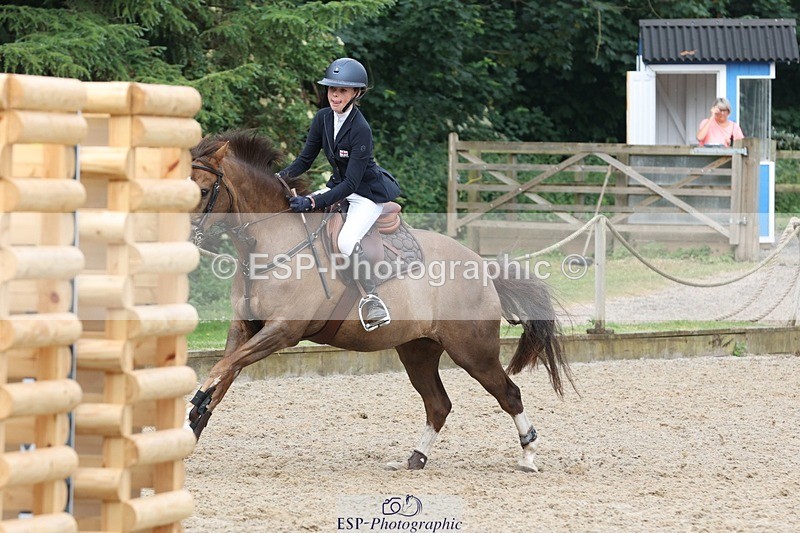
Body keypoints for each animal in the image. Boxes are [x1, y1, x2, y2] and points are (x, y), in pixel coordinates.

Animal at [187, 129, 573, 472]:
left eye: (204, 190)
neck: (271, 241)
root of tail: (482, 265)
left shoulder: (282, 331)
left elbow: (221, 370)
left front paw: (195, 403)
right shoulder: (246, 327)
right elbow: (225, 373)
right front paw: (192, 427)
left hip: (473, 352)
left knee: (508, 393)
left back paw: (528, 455)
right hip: (418, 349)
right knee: (438, 404)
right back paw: (415, 459)